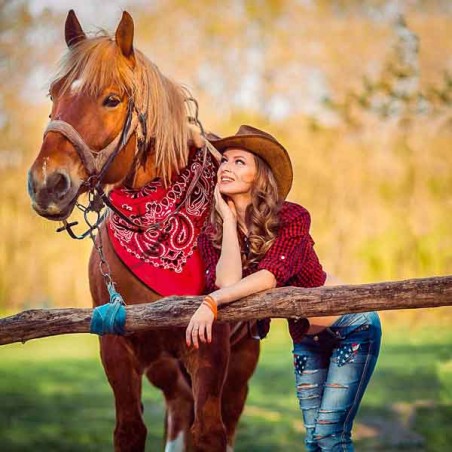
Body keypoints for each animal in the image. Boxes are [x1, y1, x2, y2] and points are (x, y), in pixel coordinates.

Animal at [27, 10, 262, 452]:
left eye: (112, 99)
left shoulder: (211, 349)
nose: (47, 183)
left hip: (241, 366)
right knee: (179, 406)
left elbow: (210, 433)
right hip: (164, 367)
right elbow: (130, 430)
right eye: (54, 94)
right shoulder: (116, 347)